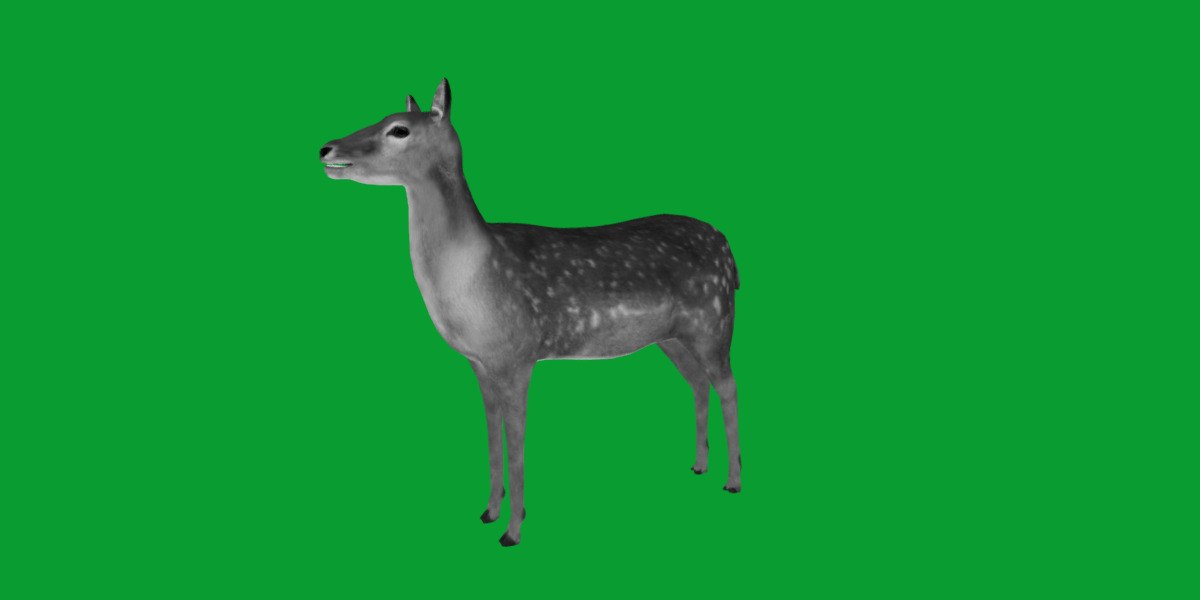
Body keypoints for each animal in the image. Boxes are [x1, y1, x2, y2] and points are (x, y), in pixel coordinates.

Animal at [319, 79, 740, 547]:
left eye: (398, 129)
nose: (325, 148)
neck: (476, 275)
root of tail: (728, 249)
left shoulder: (519, 354)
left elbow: (516, 438)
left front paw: (513, 530)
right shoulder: (480, 362)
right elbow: (492, 432)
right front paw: (488, 512)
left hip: (714, 322)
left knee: (729, 386)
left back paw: (732, 480)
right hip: (671, 337)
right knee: (698, 383)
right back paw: (699, 465)